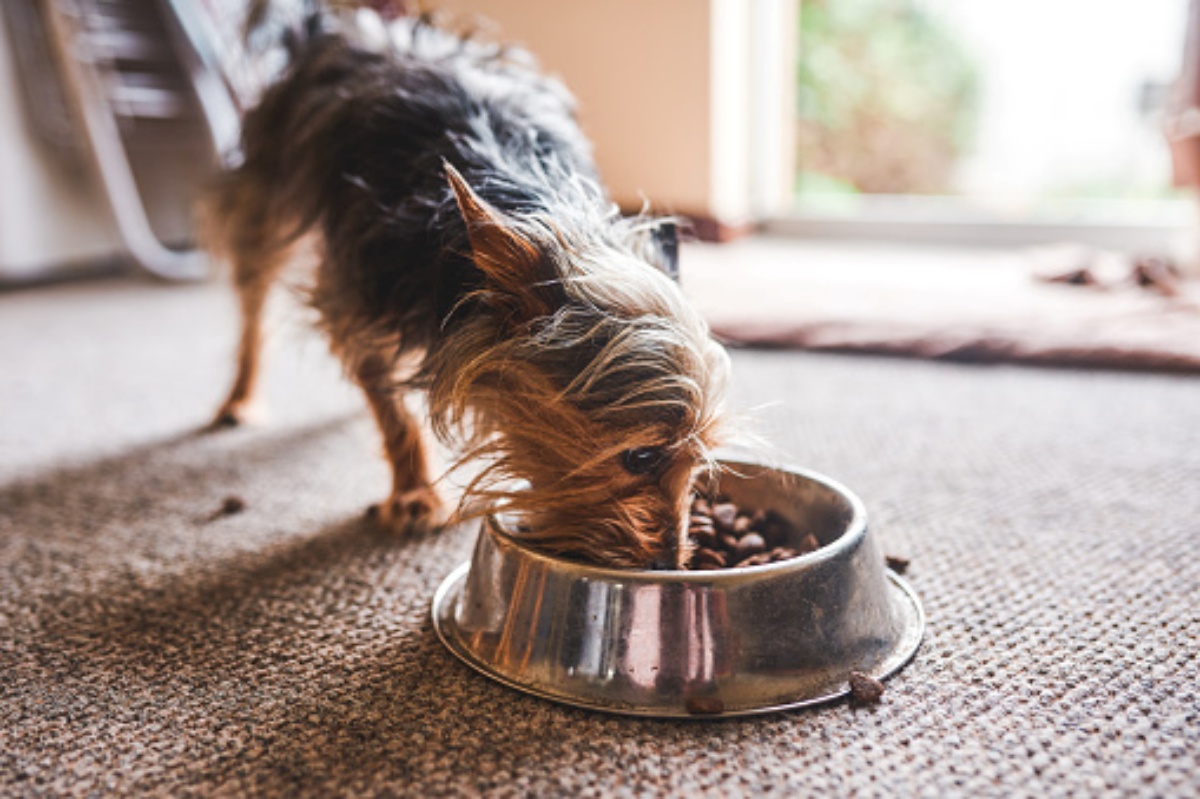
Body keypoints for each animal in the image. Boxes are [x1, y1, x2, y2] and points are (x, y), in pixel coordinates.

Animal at [204, 6, 729, 566]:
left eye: (699, 462)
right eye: (641, 456)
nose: (670, 564)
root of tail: (333, 24)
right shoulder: (359, 295)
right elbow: (390, 407)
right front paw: (414, 493)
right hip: (269, 199)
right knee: (253, 299)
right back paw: (239, 397)